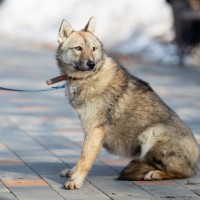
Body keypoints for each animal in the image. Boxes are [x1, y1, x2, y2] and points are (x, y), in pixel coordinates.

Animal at [55, 16, 199, 189]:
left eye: (93, 49)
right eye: (78, 48)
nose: (91, 64)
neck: (88, 78)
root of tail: (196, 160)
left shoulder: (95, 130)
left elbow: (84, 158)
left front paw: (75, 180)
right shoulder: (88, 129)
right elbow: (82, 156)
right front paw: (72, 172)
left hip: (152, 132)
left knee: (182, 172)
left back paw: (155, 174)